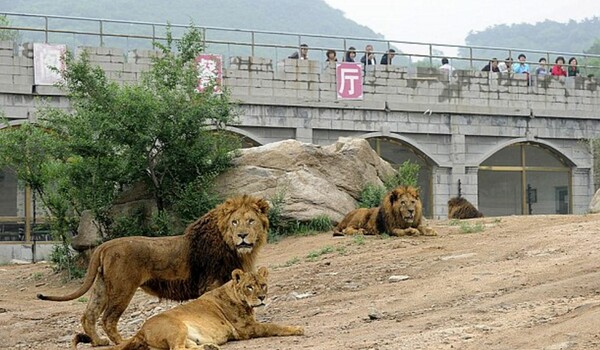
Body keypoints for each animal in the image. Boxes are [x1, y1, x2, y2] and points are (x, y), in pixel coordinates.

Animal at [37, 194, 270, 348]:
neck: (231, 246)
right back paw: (121, 341)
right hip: (123, 288)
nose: (242, 236)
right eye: (235, 222)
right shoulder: (211, 283)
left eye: (251, 221)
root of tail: (105, 245)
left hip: (102, 287)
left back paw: (98, 342)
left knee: (89, 315)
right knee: (108, 319)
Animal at [104, 266, 304, 348]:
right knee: (177, 349)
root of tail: (141, 329)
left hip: (186, 336)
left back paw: (210, 347)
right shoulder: (246, 329)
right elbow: (273, 326)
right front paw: (296, 328)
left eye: (263, 285)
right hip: (177, 327)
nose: (262, 297)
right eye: (249, 287)